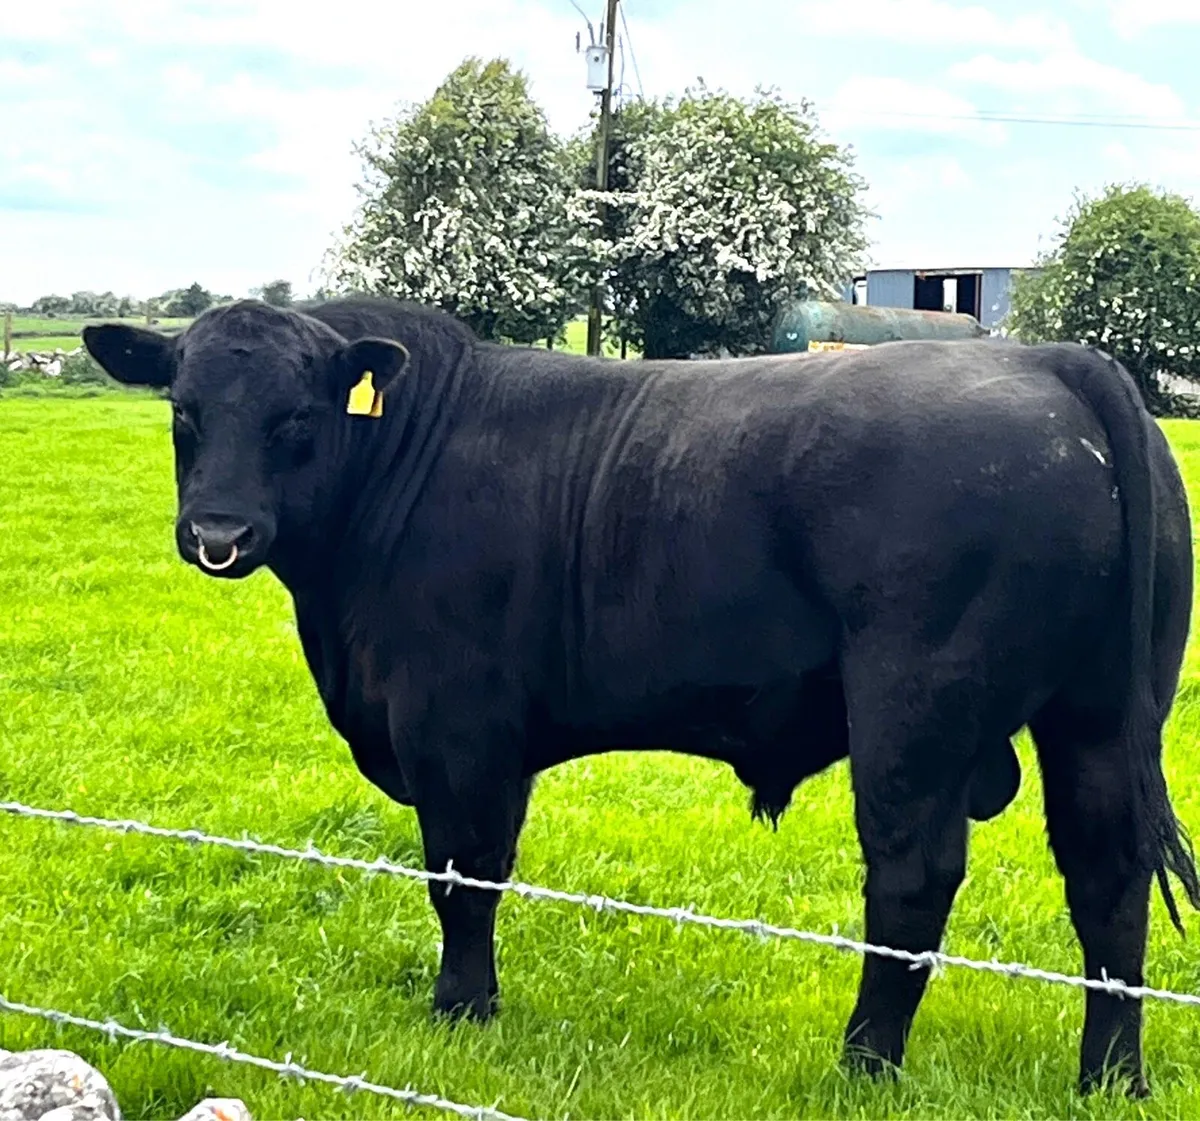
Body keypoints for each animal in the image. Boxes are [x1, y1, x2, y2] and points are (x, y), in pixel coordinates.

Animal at [82, 294, 1198, 1097]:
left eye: (296, 417)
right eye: (183, 411)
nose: (218, 532)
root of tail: (1048, 359)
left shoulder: (457, 730)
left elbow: (464, 876)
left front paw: (461, 1010)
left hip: (914, 712)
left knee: (913, 882)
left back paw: (863, 1063)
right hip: (1100, 716)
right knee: (1107, 881)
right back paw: (1110, 1077)